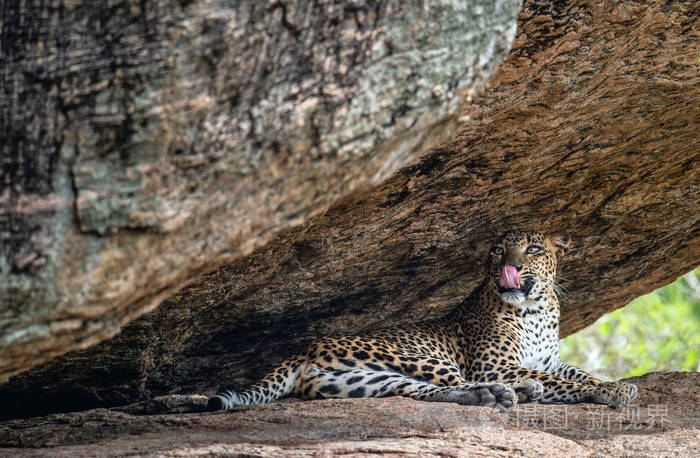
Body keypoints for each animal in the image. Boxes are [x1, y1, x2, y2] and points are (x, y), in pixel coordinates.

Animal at [205, 231, 636, 414]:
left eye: (532, 249)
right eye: (498, 250)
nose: (508, 266)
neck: (536, 308)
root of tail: (305, 349)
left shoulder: (550, 360)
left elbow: (577, 373)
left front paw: (615, 385)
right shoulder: (494, 364)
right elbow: (566, 383)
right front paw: (611, 391)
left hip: (367, 381)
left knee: (429, 392)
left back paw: (497, 396)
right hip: (417, 357)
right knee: (461, 382)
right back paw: (516, 392)